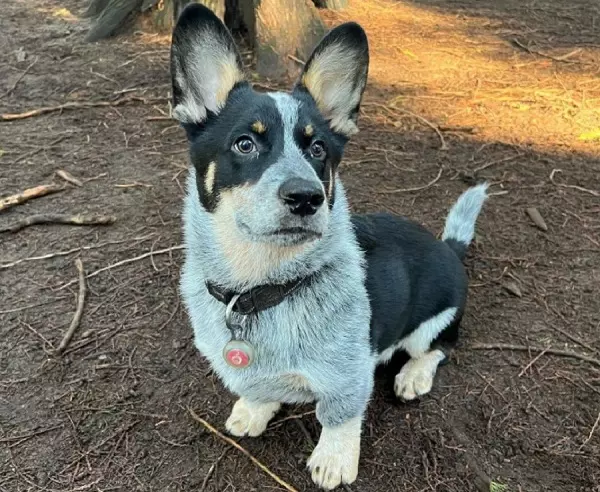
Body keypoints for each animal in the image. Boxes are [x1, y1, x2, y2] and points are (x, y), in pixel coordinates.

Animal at [171, 5, 490, 490]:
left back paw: (413, 375)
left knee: (438, 348)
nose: (306, 197)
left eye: (318, 148)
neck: (260, 289)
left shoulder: (347, 377)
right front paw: (252, 410)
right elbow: (256, 388)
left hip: (431, 323)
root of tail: (447, 247)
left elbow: (338, 417)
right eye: (245, 143)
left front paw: (334, 460)